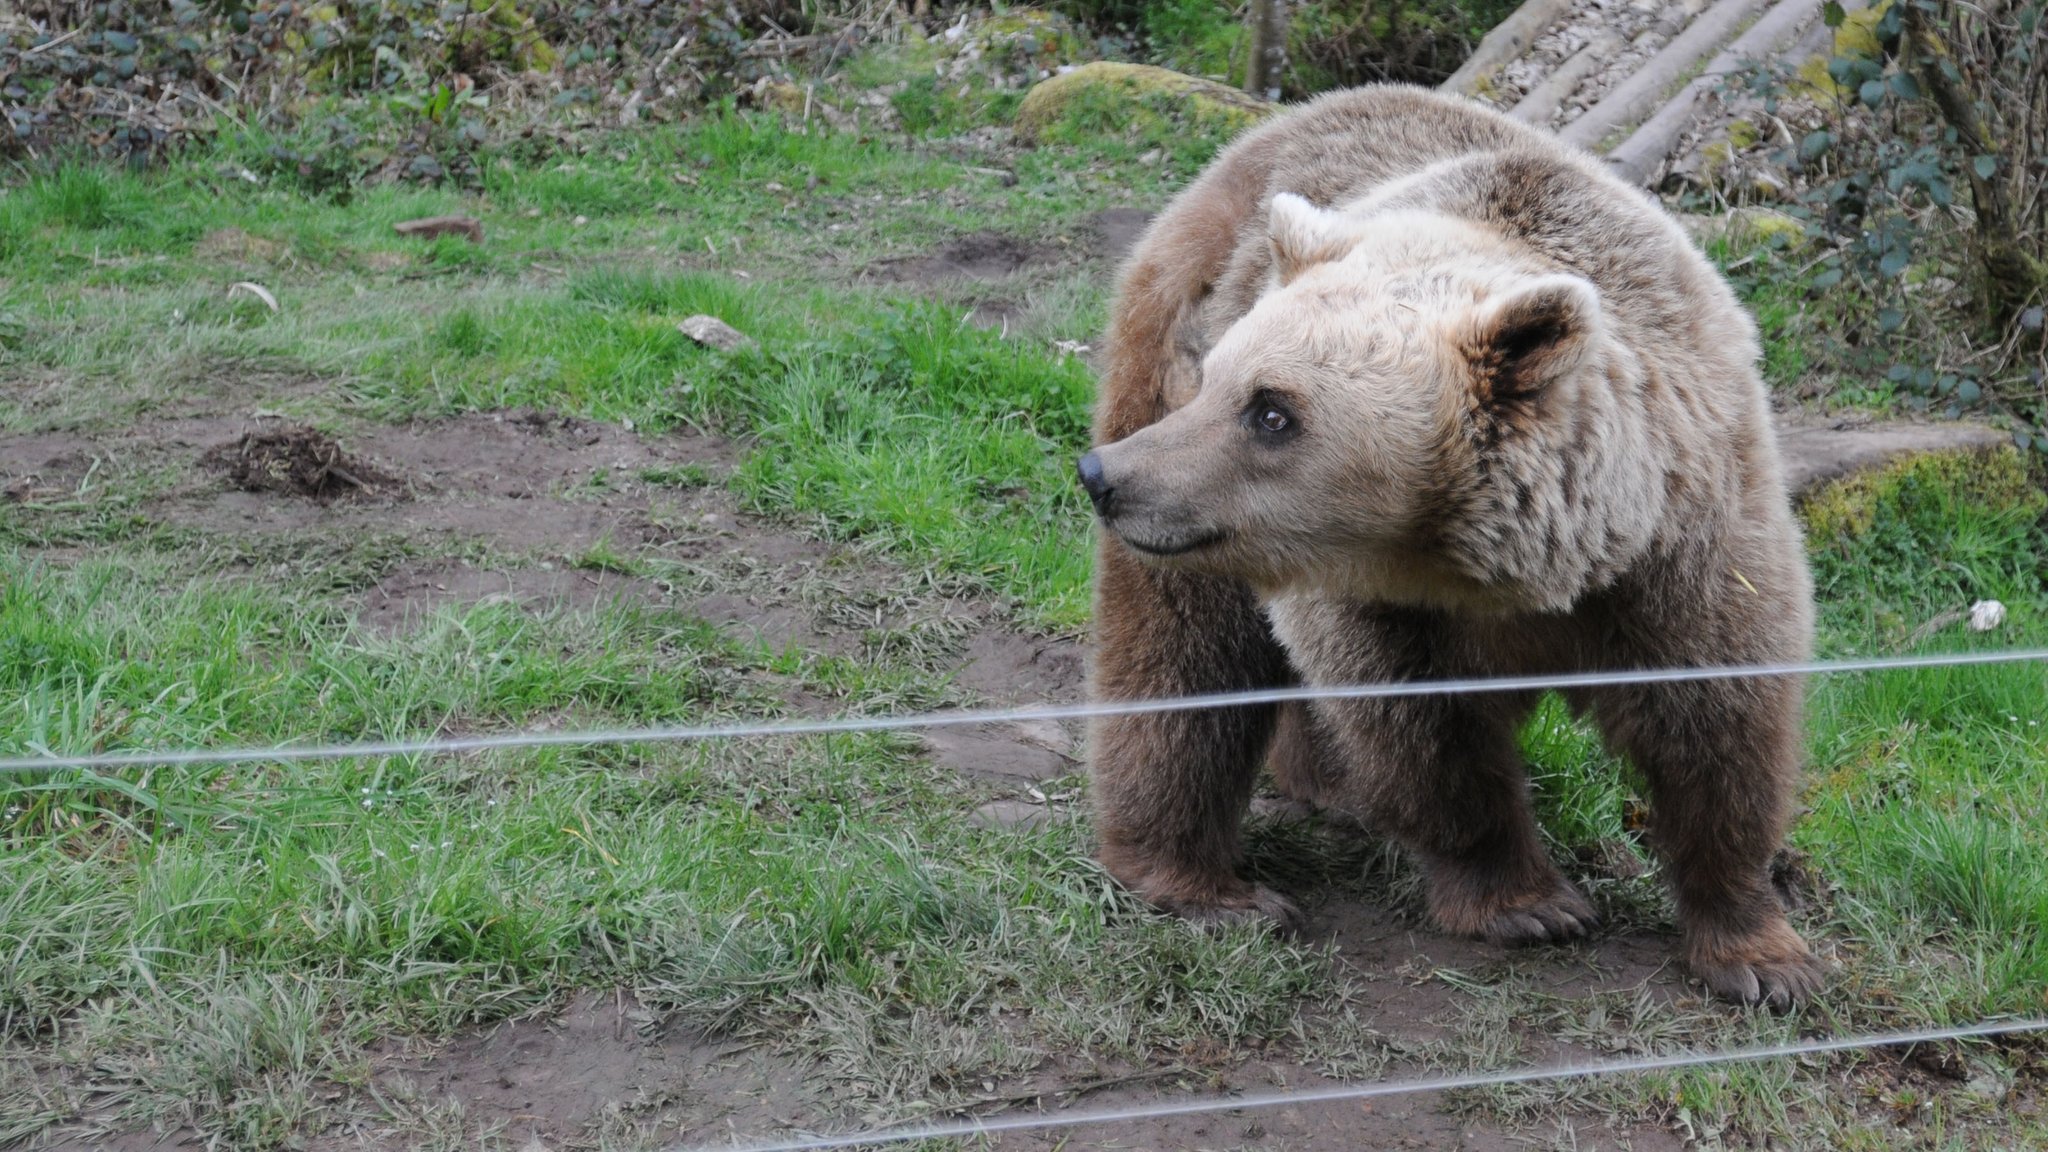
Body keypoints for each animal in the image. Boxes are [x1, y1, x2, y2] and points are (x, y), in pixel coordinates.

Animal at [1073, 85, 1826, 1004]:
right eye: (1223, 381)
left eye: (1271, 410)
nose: (1107, 476)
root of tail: (1272, 129)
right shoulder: (1378, 604)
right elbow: (1427, 733)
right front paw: (1528, 901)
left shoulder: (1687, 545)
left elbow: (1723, 728)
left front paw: (1763, 955)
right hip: (1169, 358)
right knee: (1185, 653)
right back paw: (1205, 885)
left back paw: (1323, 785)